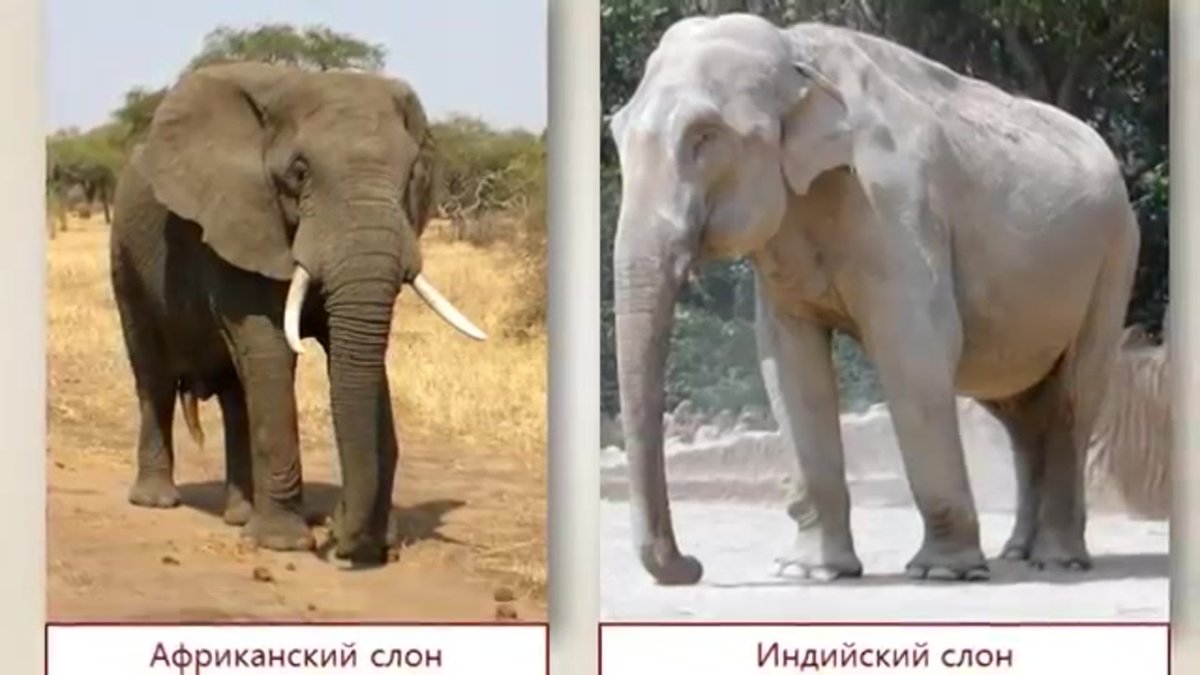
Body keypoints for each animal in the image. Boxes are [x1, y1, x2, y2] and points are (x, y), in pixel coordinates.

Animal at [109, 62, 487, 565]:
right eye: (300, 172)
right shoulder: (241, 217)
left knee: (236, 393)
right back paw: (156, 501)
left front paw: (370, 542)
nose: (338, 532)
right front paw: (283, 544)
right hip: (125, 258)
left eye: (412, 175)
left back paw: (239, 516)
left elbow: (354, 356)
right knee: (153, 376)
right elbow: (271, 349)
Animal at [608, 15, 1139, 585]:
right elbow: (790, 366)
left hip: (1114, 257)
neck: (796, 55)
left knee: (1072, 396)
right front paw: (808, 572)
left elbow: (915, 351)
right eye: (616, 133)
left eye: (704, 137)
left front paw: (943, 573)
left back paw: (1056, 560)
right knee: (1019, 411)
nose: (692, 565)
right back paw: (1017, 553)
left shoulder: (895, 203)